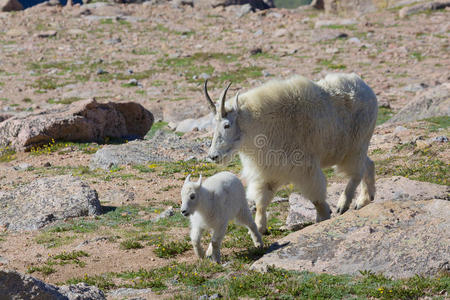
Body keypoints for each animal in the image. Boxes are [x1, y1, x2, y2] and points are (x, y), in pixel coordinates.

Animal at [203, 74, 376, 233]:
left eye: (227, 125)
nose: (213, 156)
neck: (259, 124)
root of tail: (367, 89)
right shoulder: (270, 170)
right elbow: (262, 200)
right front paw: (260, 228)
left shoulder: (304, 166)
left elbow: (316, 195)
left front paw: (323, 216)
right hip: (354, 148)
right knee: (368, 164)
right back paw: (364, 200)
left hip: (355, 145)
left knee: (357, 172)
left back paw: (343, 204)